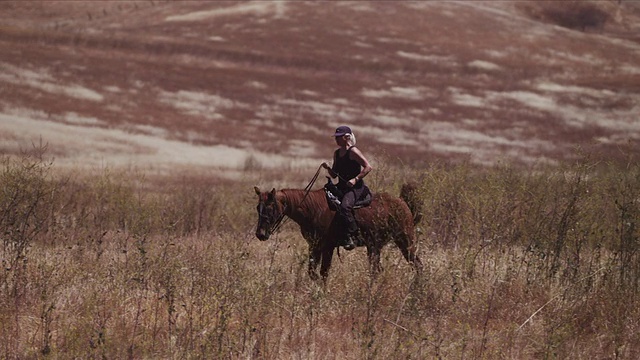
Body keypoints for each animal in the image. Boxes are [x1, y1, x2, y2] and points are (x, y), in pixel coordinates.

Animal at [252, 183, 422, 282]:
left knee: (417, 265)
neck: (313, 210)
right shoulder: (314, 247)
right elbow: (312, 272)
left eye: (270, 207)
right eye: (258, 207)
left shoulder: (328, 247)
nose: (260, 234)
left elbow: (323, 273)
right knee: (377, 270)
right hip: (374, 247)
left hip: (405, 241)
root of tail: (402, 202)